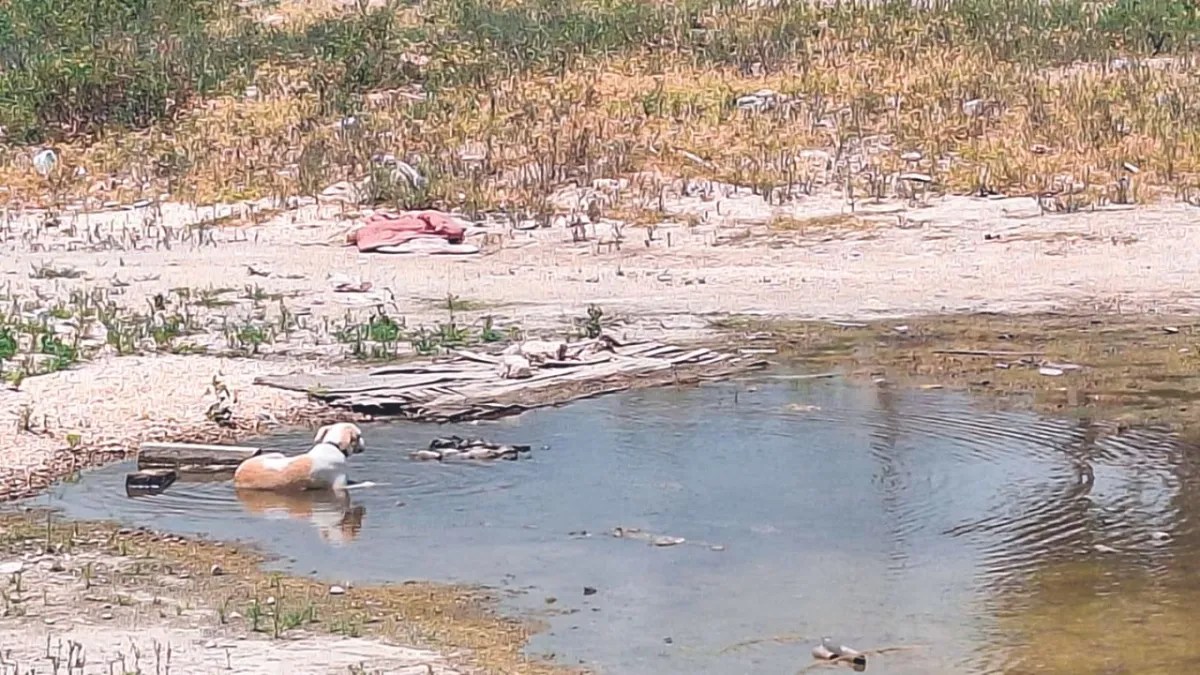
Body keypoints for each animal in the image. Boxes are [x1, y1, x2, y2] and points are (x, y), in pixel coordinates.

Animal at [232, 420, 364, 487]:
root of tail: (237, 475)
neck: (332, 445)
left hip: (277, 455)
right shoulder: (340, 486)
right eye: (359, 436)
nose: (364, 444)